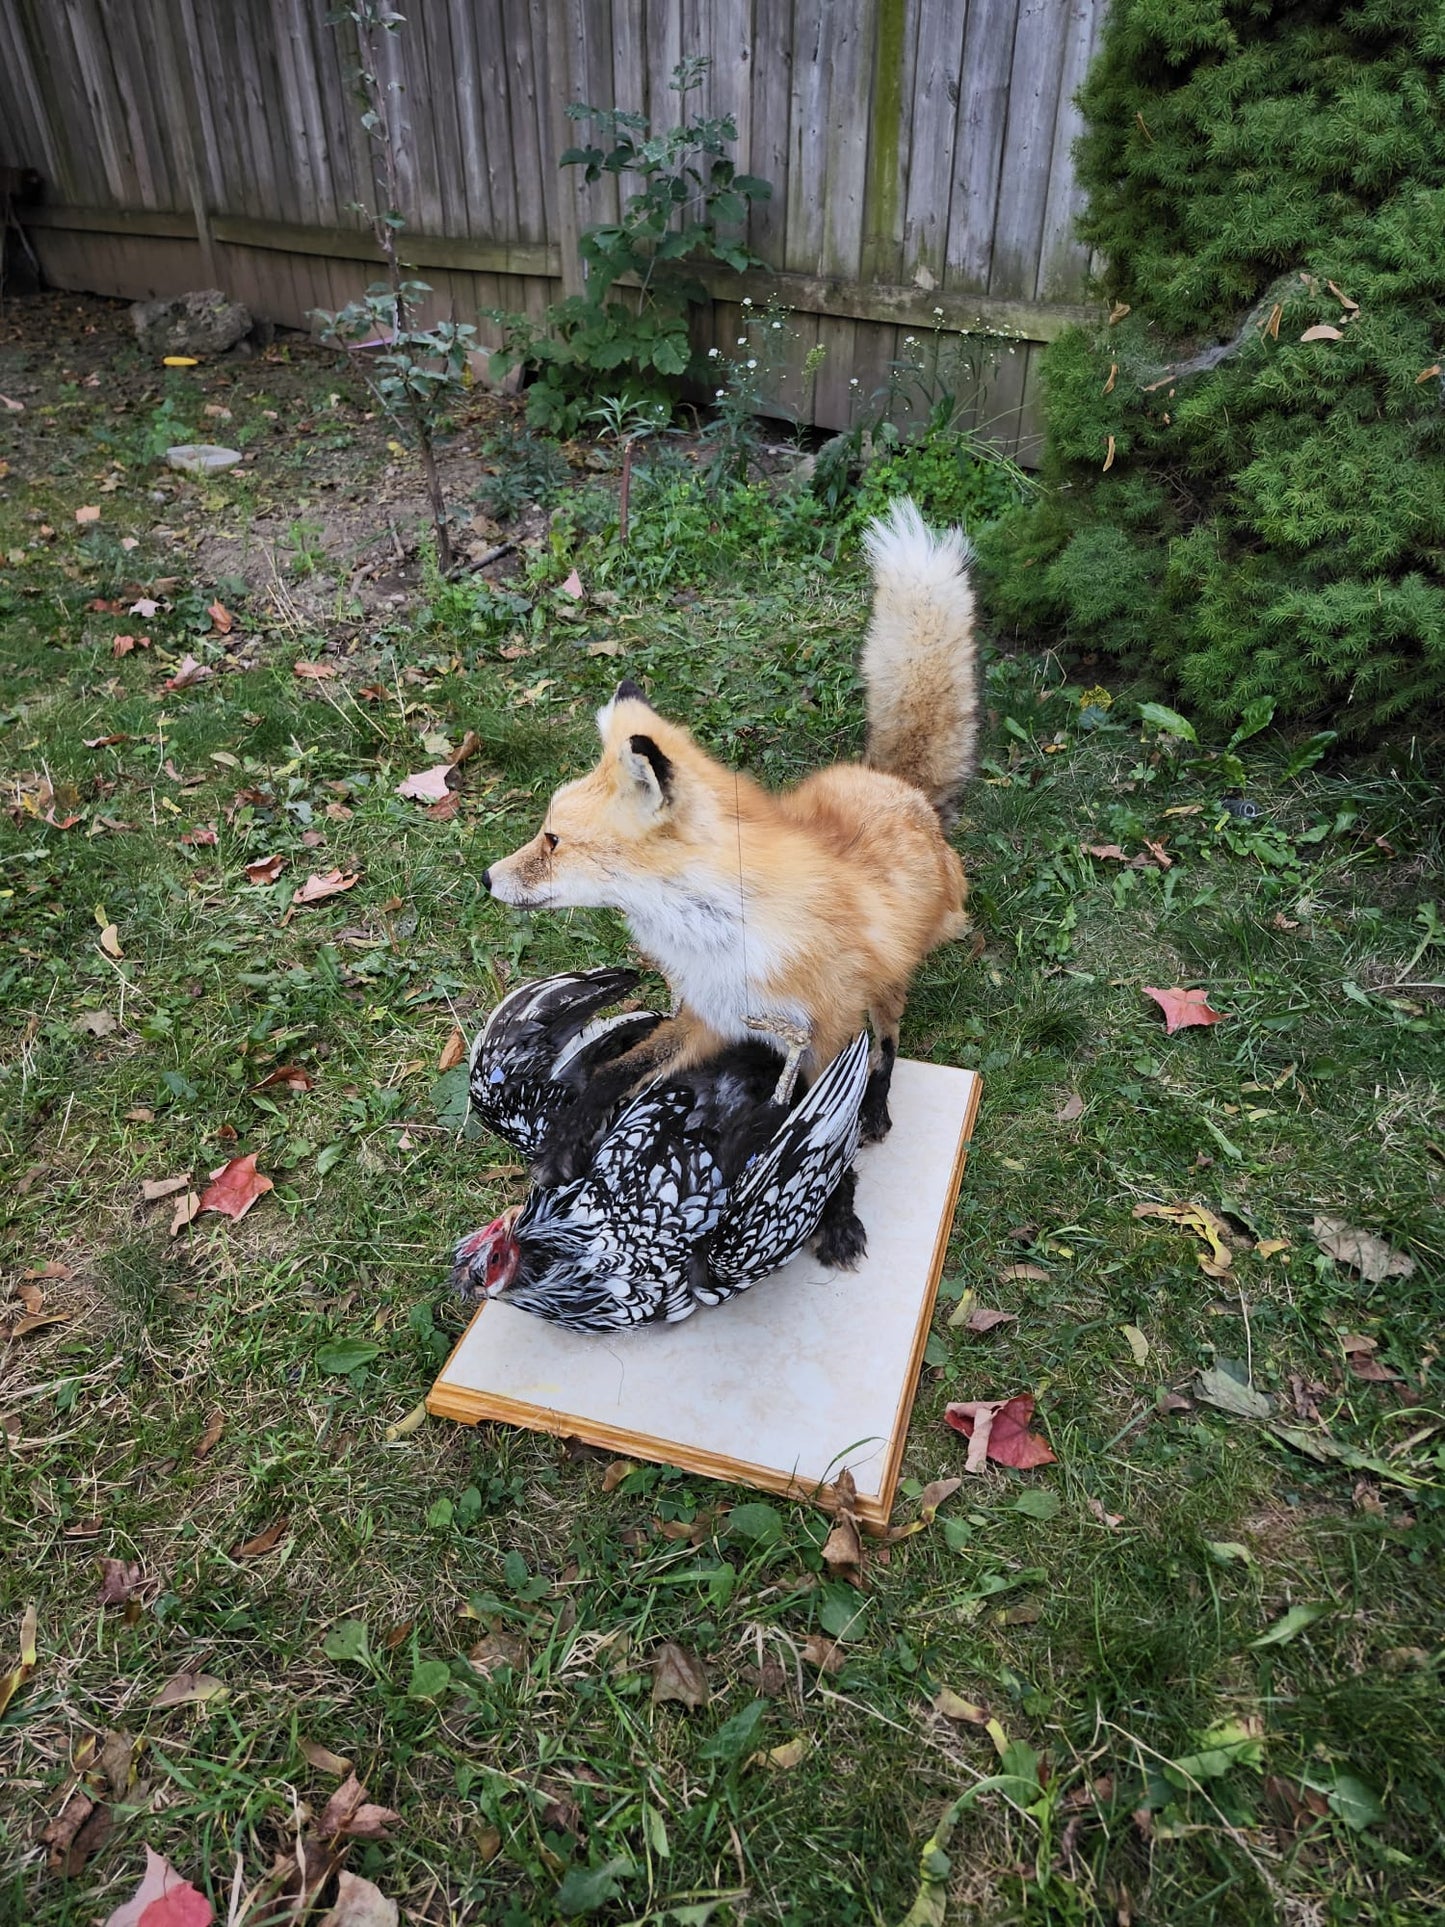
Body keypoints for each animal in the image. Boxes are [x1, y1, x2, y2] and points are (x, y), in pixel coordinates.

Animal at [482, 496, 978, 1246]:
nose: (486, 878)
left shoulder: (825, 1033)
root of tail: (901, 787)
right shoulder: (705, 1016)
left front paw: (832, 1212)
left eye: (553, 840)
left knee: (888, 1042)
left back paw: (876, 1109)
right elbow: (615, 1071)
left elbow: (821, 1130)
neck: (719, 938)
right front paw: (565, 1144)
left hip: (891, 979)